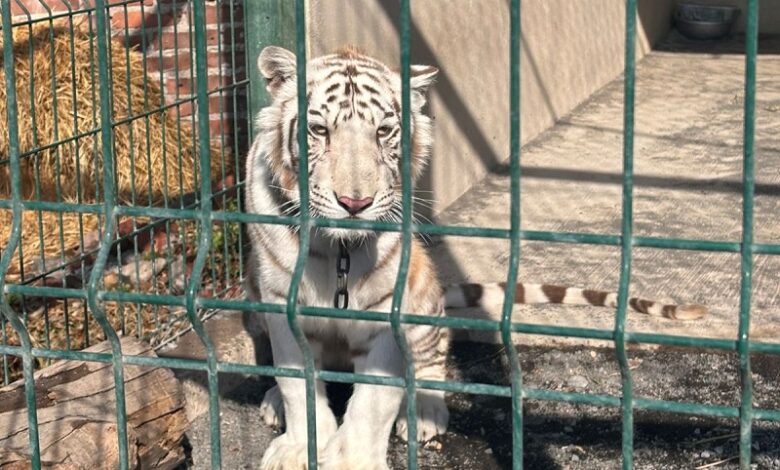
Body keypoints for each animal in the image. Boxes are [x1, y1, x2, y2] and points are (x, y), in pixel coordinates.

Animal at [244, 45, 707, 470]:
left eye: (384, 131)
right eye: (318, 129)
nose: (354, 203)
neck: (338, 249)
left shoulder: (389, 312)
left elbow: (372, 403)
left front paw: (354, 460)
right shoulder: (279, 304)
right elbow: (296, 382)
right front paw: (297, 445)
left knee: (432, 362)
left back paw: (425, 412)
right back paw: (273, 402)